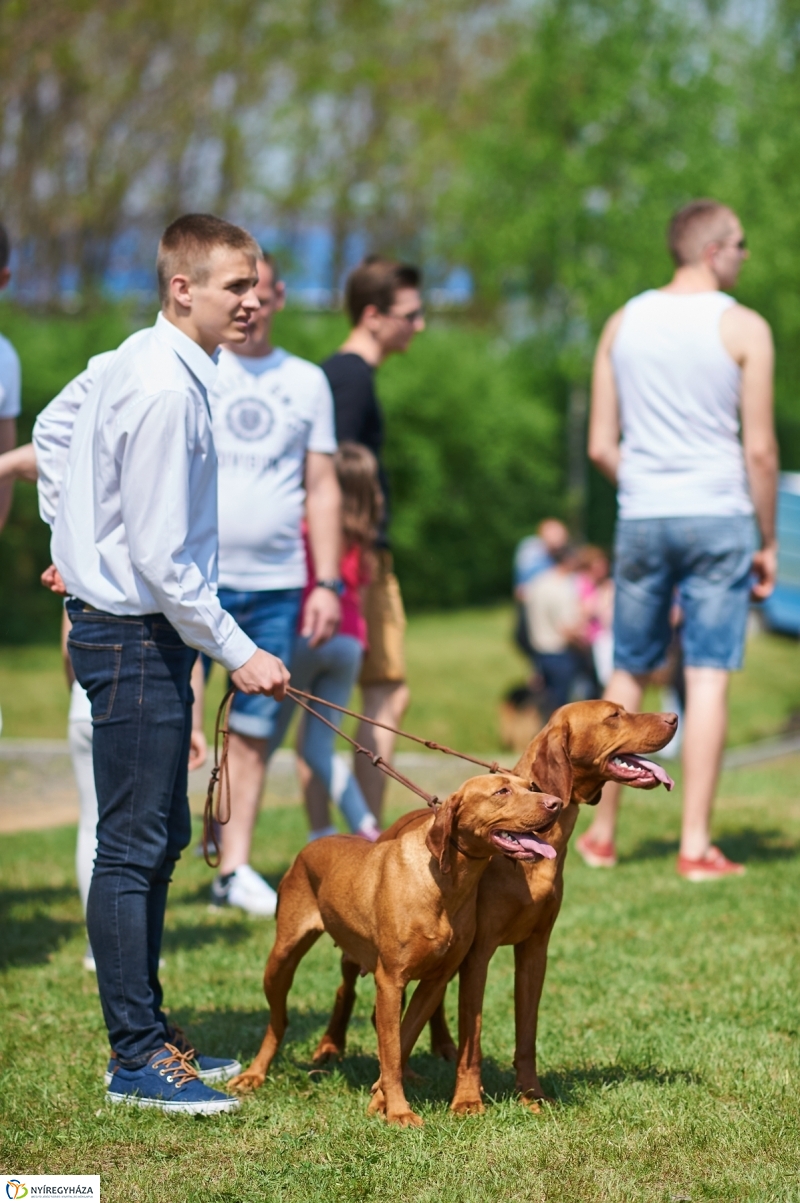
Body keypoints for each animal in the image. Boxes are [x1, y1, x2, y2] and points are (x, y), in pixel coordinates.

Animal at [227, 774, 558, 1121]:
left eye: (531, 787)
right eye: (501, 791)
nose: (556, 803)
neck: (445, 882)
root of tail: (312, 845)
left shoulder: (435, 982)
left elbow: (401, 1042)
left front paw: (382, 1099)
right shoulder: (390, 981)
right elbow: (391, 1047)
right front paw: (398, 1112)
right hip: (281, 960)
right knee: (279, 1021)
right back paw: (255, 1073)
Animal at [312, 702, 673, 1111]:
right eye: (614, 715)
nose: (674, 718)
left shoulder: (533, 950)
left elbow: (526, 1032)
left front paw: (531, 1093)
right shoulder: (478, 954)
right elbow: (474, 1035)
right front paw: (467, 1100)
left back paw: (435, 1051)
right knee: (348, 989)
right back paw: (332, 1048)